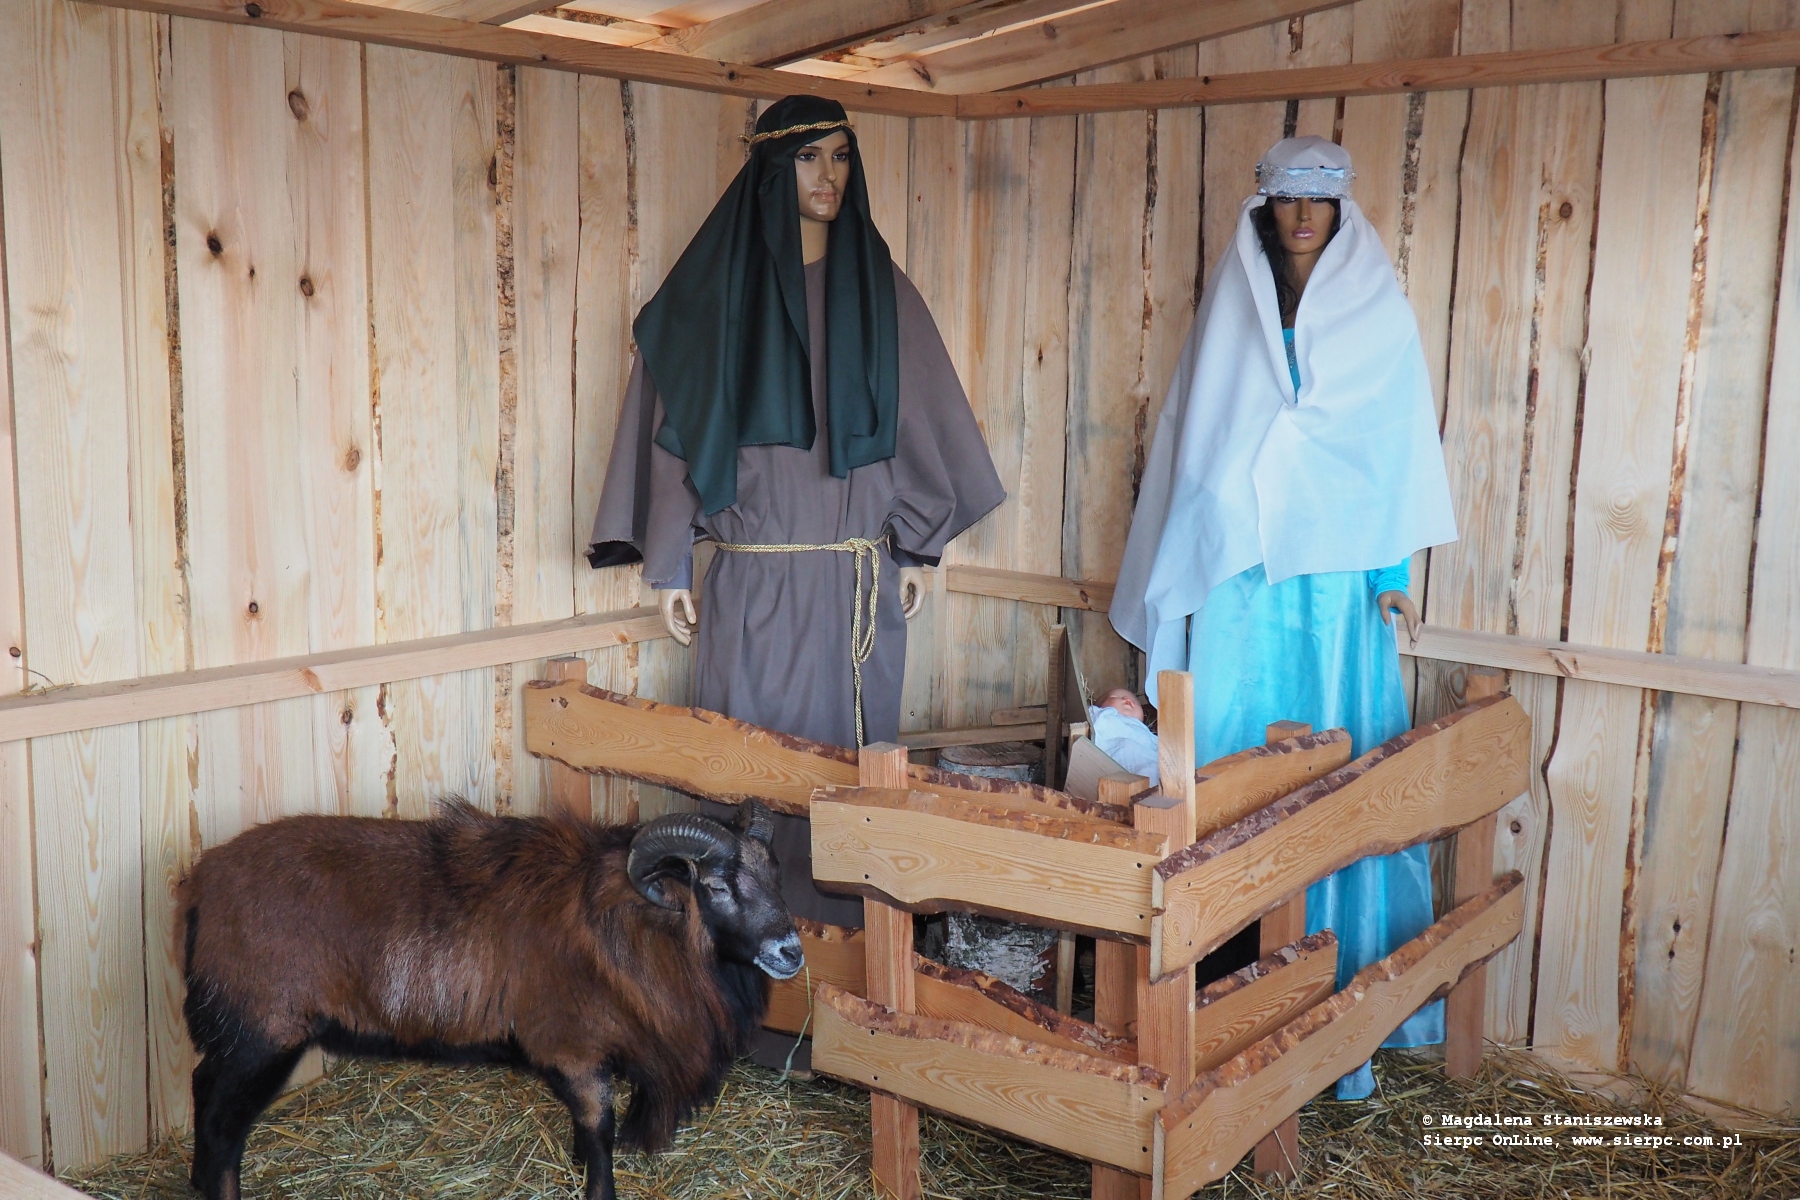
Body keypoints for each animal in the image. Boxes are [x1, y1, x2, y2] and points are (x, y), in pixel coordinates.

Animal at [179, 798, 799, 1200]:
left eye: (777, 877)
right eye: (716, 886)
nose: (791, 950)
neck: (640, 929)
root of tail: (200, 883)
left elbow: (587, 1131)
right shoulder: (573, 1047)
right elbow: (599, 1131)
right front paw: (596, 1184)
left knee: (202, 1087)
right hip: (263, 1030)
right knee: (223, 1123)